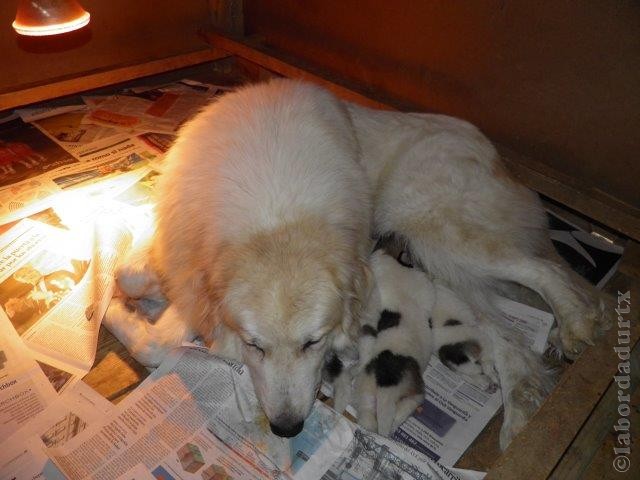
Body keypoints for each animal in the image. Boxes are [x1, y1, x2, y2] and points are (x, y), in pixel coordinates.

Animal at [106, 77, 608, 448]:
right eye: (255, 346)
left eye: (314, 343)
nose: (287, 428)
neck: (273, 218)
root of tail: (499, 160)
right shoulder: (184, 254)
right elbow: (129, 275)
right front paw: (133, 294)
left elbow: (153, 342)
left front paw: (114, 313)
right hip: (449, 270)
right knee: (512, 342)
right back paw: (521, 417)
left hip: (440, 235)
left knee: (544, 272)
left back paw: (576, 324)